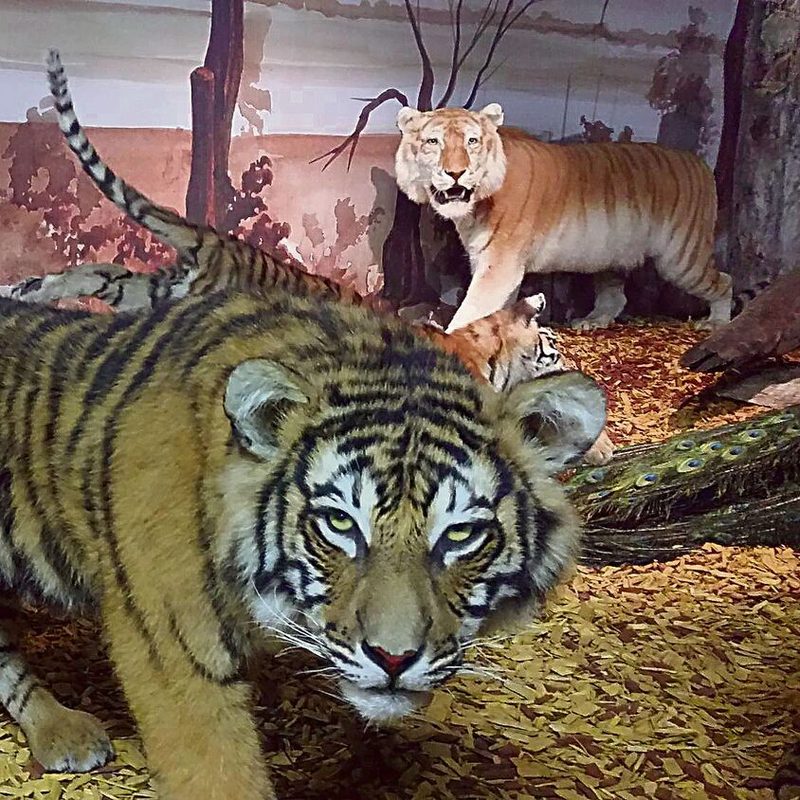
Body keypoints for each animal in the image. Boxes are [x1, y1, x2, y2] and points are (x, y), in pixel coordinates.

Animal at [393, 104, 734, 333]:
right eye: (433, 142)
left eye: (472, 141)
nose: (455, 172)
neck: (475, 207)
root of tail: (698, 161)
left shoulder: (499, 266)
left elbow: (472, 308)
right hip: (610, 257)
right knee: (616, 298)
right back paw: (591, 321)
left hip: (681, 259)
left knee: (724, 281)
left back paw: (716, 323)